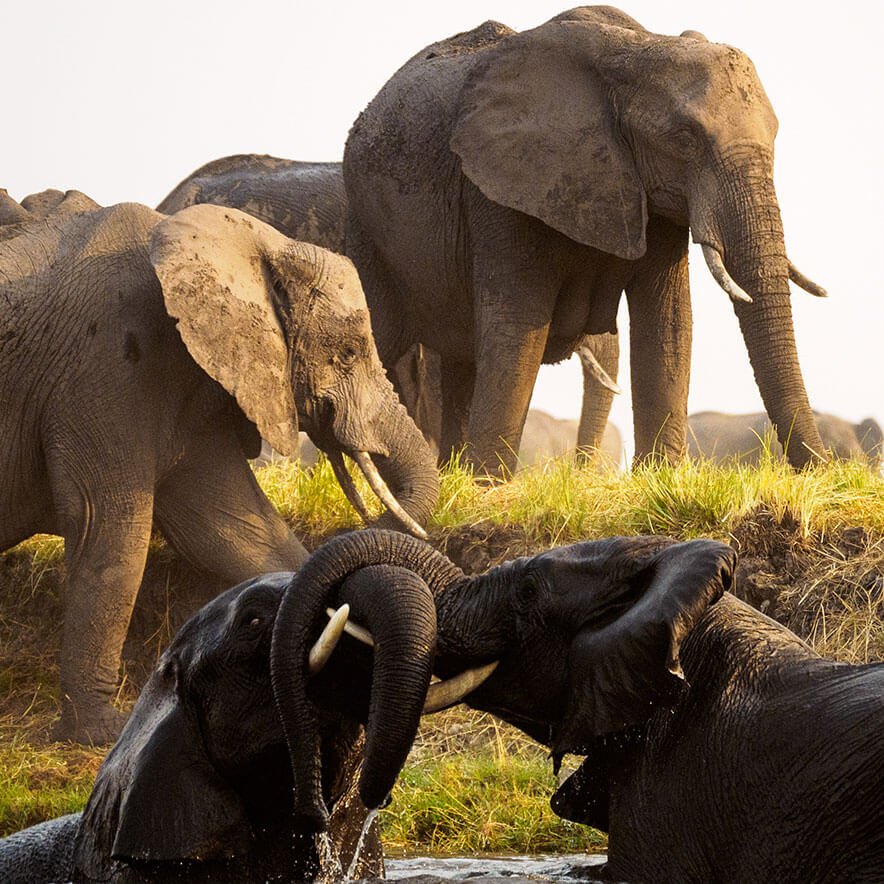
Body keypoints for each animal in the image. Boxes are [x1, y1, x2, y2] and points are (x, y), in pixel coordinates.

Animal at [0, 200, 440, 744]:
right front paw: (103, 731)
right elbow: (109, 529)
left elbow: (235, 530)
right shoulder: (104, 369)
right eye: (347, 354)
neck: (258, 244)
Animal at [344, 3, 828, 474]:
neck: (637, 51)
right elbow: (517, 325)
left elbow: (668, 322)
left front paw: (661, 481)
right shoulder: (502, 185)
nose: (822, 471)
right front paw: (490, 487)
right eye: (684, 139)